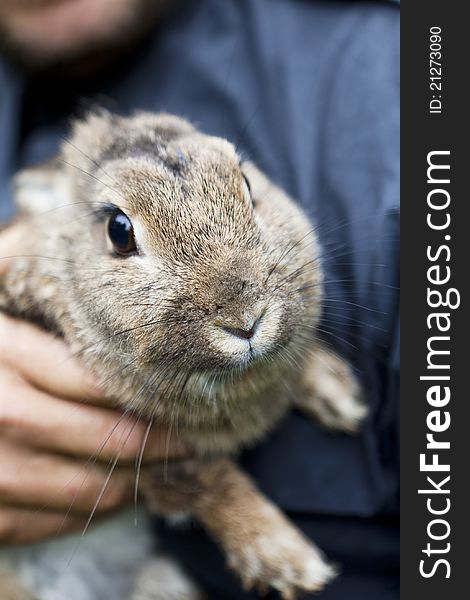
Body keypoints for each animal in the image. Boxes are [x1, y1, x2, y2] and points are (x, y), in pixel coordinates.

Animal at [0, 112, 368, 600]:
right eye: (119, 231)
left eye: (247, 184)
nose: (245, 318)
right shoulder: (145, 460)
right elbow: (209, 480)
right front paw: (286, 558)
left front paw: (339, 395)